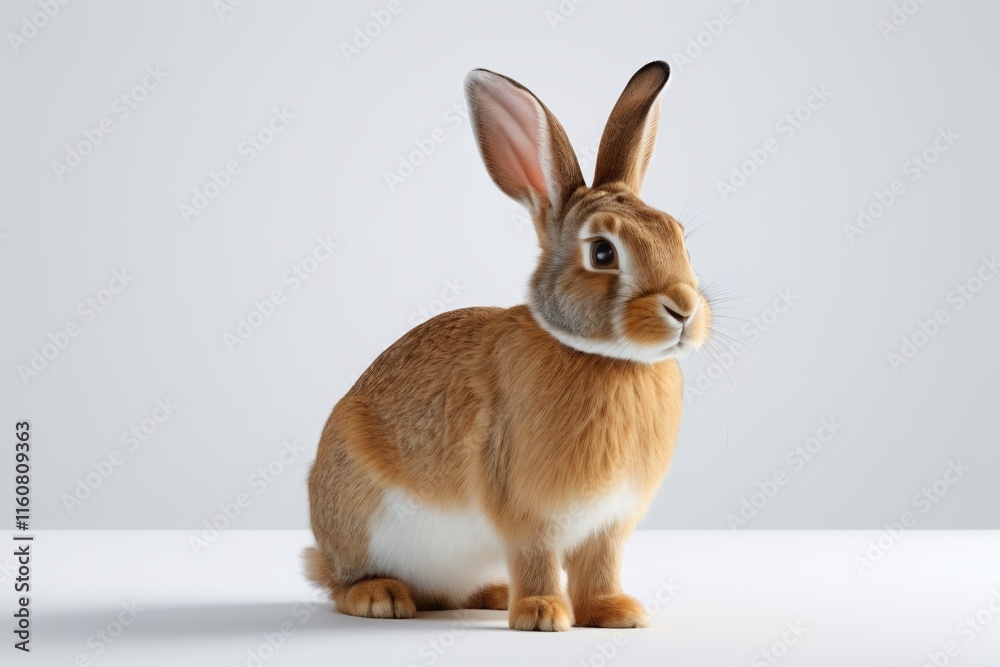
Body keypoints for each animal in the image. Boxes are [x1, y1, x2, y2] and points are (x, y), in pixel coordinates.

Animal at [304, 60, 711, 631]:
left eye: (679, 237)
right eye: (602, 253)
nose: (684, 309)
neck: (607, 359)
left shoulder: (608, 523)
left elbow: (600, 566)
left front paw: (616, 613)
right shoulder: (523, 510)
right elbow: (536, 558)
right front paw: (542, 615)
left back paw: (492, 595)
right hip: (355, 516)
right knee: (342, 580)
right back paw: (381, 597)